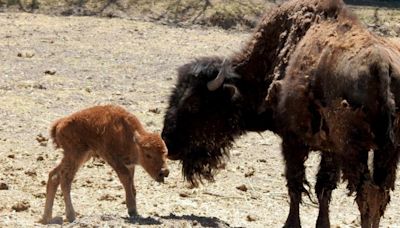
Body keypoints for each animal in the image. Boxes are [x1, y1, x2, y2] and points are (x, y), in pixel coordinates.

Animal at [41, 105, 170, 224]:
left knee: (54, 175)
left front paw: (135, 210)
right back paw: (71, 216)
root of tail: (59, 124)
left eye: (165, 153)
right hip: (76, 154)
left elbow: (131, 184)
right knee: (65, 179)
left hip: (80, 155)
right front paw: (132, 210)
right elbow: (125, 178)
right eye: (148, 155)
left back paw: (47, 218)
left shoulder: (129, 164)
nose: (164, 172)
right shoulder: (112, 158)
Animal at [161, 0, 398, 227]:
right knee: (380, 194)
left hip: (355, 149)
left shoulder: (292, 141)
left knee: (367, 193)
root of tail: (381, 64)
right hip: (385, 151)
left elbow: (296, 184)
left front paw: (290, 224)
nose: (168, 143)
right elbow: (323, 187)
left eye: (194, 103)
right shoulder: (329, 150)